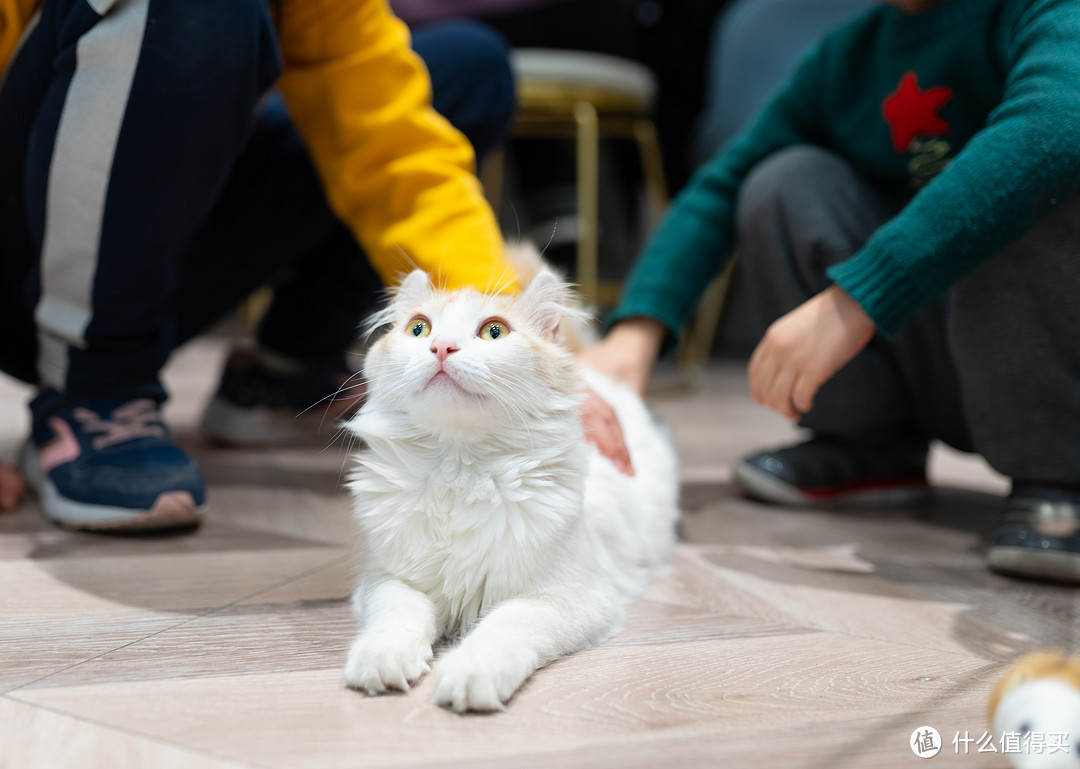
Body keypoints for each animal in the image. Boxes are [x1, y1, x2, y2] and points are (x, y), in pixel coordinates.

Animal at [341, 260, 678, 712]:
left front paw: (472, 674)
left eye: (494, 332)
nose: (442, 347)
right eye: (419, 329)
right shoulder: (386, 579)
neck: (460, 470)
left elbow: (505, 627)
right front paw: (382, 659)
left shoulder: (571, 598)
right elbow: (398, 616)